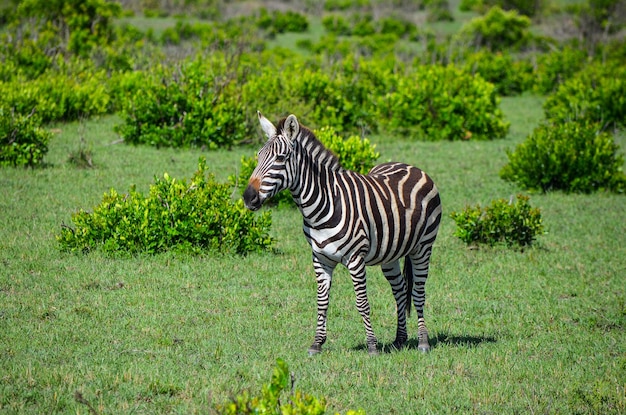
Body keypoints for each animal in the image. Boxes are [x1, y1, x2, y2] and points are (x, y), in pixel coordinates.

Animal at [241, 112, 442, 356]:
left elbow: (362, 302)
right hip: (390, 254)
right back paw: (400, 339)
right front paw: (317, 343)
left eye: (280, 158)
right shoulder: (320, 258)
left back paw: (423, 342)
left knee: (418, 292)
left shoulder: (355, 259)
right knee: (401, 290)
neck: (322, 204)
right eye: (258, 156)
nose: (248, 197)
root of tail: (412, 166)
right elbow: (322, 301)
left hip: (423, 247)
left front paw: (372, 346)